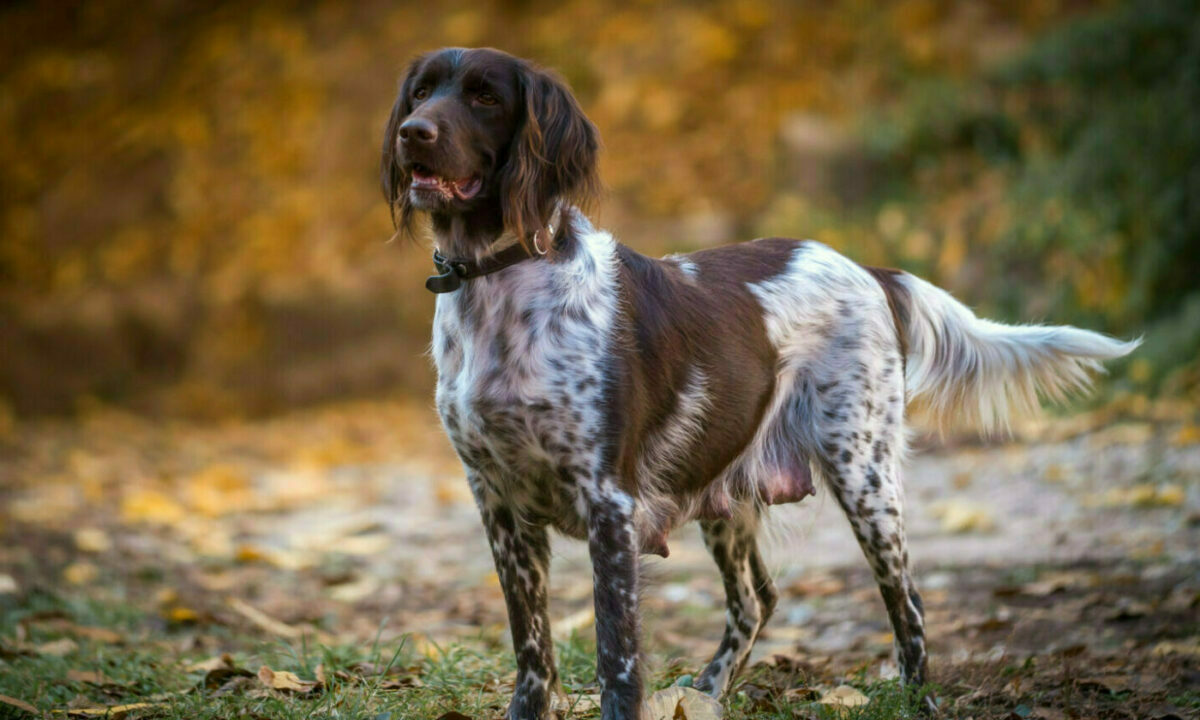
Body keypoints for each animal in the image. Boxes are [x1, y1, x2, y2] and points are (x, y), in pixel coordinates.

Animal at [379, 47, 1137, 715]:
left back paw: (916, 702)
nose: (414, 133)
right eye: (420, 93)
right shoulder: (498, 503)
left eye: (485, 97)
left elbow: (616, 659)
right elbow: (532, 656)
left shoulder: (607, 503)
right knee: (756, 600)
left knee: (909, 608)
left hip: (865, 477)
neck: (500, 283)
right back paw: (707, 694)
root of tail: (870, 270)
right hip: (726, 490)